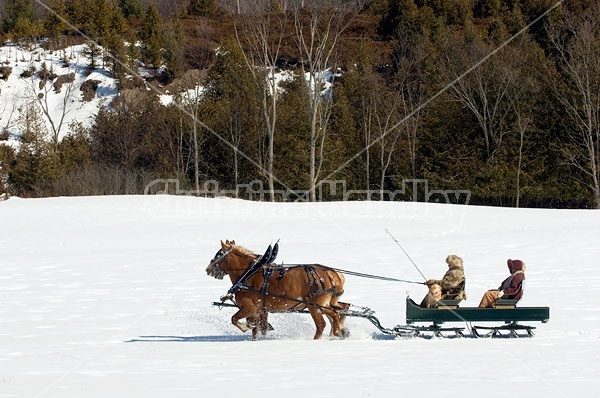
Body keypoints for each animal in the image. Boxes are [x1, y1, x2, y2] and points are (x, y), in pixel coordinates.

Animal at [205, 239, 346, 338]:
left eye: (219, 255)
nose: (208, 269)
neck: (249, 274)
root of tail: (329, 274)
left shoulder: (250, 308)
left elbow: (234, 319)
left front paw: (246, 327)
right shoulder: (260, 311)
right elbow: (258, 330)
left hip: (314, 305)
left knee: (322, 324)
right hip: (323, 304)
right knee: (336, 314)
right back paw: (339, 332)